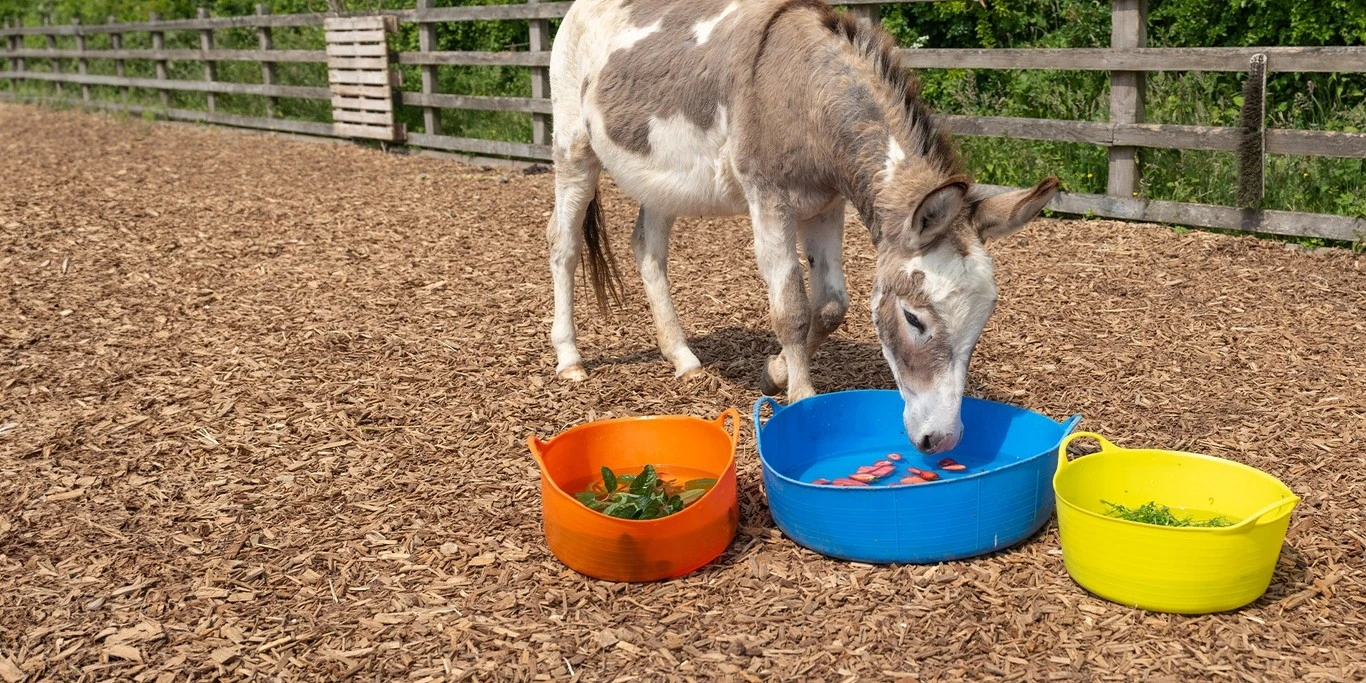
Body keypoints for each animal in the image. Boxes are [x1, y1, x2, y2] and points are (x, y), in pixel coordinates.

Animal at [544, 0, 1059, 454]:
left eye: (983, 320)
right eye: (914, 319)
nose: (944, 440)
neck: (806, 97)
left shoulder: (825, 205)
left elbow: (829, 306)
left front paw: (774, 373)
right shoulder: (769, 200)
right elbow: (791, 307)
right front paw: (801, 401)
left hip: (660, 180)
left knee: (648, 251)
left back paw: (683, 358)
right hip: (574, 149)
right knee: (563, 246)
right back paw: (570, 359)